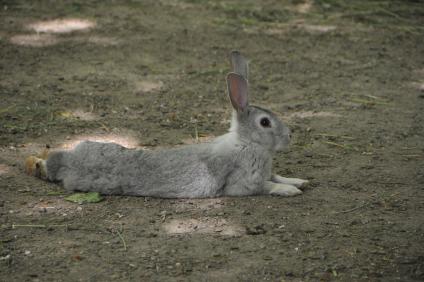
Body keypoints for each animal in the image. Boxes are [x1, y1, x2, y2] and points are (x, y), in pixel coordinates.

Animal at [26, 50, 308, 198]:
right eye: (265, 122)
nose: (289, 136)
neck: (247, 143)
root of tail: (67, 161)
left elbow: (278, 175)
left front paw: (300, 181)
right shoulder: (244, 183)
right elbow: (268, 185)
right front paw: (290, 190)